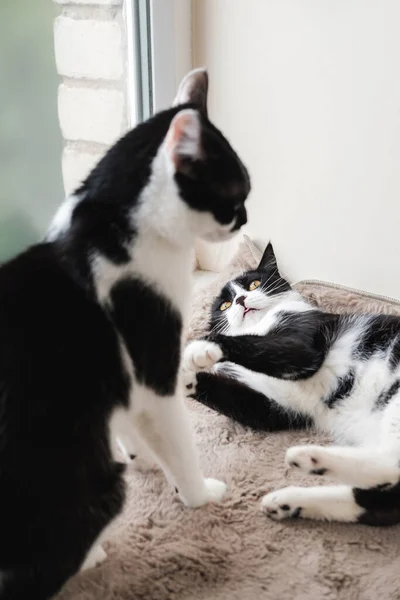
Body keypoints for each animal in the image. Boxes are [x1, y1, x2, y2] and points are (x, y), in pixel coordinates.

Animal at [0, 70, 250, 600]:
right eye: (234, 198)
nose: (245, 220)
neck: (110, 225)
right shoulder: (152, 365)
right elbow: (177, 438)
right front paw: (198, 493)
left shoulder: (120, 379)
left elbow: (130, 423)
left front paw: (146, 458)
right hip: (93, 490)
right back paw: (92, 556)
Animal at [184, 243, 400, 524]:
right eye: (225, 304)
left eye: (254, 284)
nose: (240, 301)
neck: (260, 324)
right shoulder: (275, 406)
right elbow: (253, 410)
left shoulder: (304, 335)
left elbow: (268, 345)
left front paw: (202, 346)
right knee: (383, 502)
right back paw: (289, 499)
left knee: (391, 463)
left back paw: (308, 457)